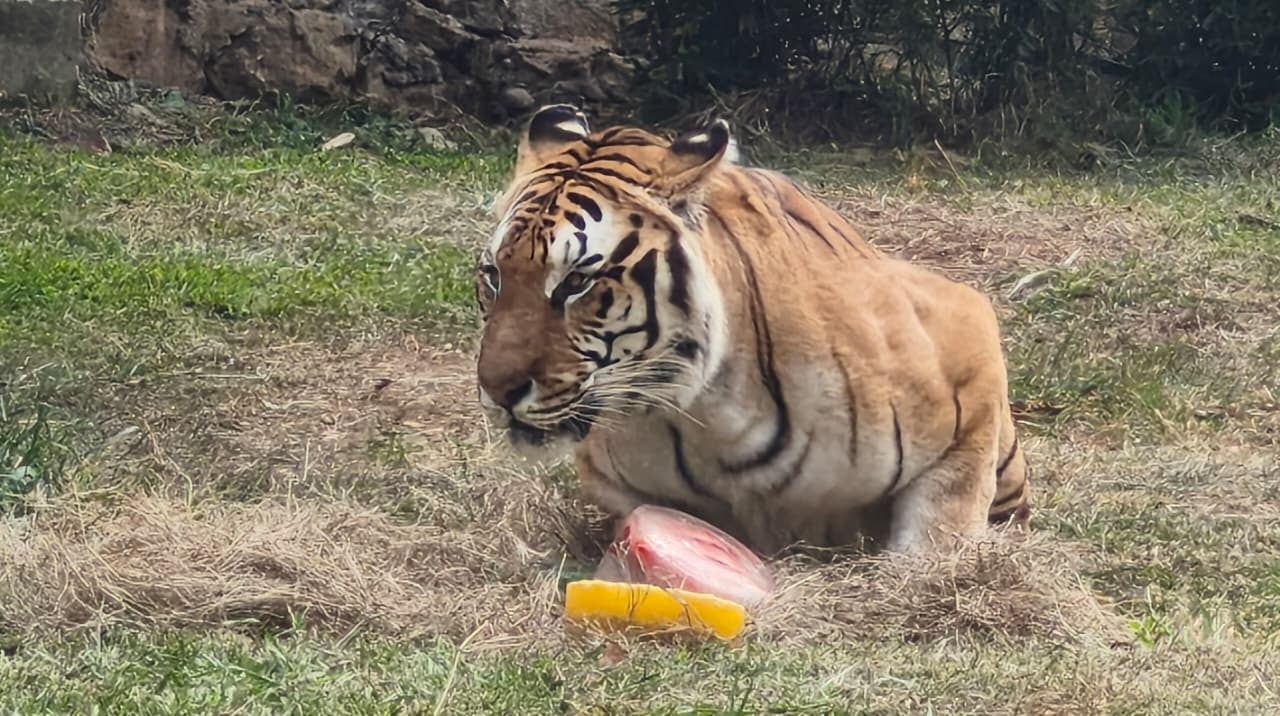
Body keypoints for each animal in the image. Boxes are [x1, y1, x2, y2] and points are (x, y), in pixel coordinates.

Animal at [473, 104, 1030, 555]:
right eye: (494, 275)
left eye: (576, 282)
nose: (497, 392)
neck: (712, 417)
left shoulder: (965, 342)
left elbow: (941, 524)